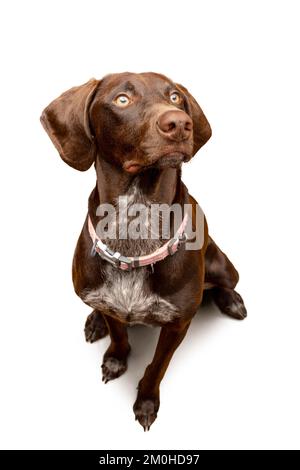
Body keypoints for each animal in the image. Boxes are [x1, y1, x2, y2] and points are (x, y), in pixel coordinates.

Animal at [40, 72, 246, 430]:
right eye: (122, 99)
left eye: (175, 97)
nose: (179, 123)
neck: (136, 222)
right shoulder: (110, 303)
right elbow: (119, 334)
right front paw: (115, 358)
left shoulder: (177, 324)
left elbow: (157, 367)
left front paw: (147, 401)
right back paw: (94, 321)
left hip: (224, 266)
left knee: (224, 283)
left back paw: (230, 300)